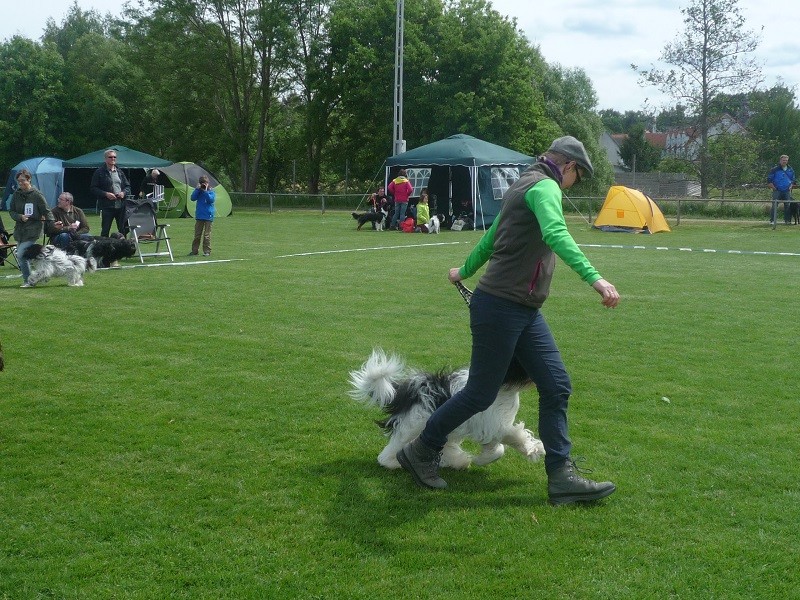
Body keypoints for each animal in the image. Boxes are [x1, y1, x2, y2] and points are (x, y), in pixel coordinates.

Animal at [346, 350, 548, 472]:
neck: (503, 386)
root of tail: (405, 392)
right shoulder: (493, 424)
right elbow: (510, 438)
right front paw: (533, 449)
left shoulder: (491, 425)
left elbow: (499, 445)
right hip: (413, 425)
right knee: (388, 454)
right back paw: (398, 462)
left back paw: (457, 460)